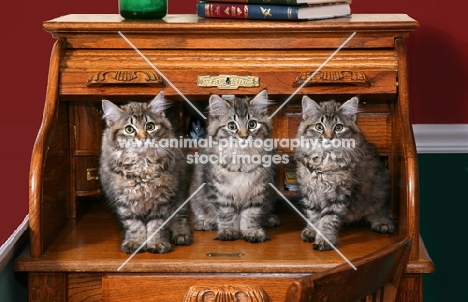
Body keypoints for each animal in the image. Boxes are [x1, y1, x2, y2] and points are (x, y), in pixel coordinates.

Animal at [98, 91, 192, 254]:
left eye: (150, 126)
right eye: (129, 129)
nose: (143, 138)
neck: (143, 166)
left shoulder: (163, 198)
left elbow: (157, 225)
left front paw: (157, 243)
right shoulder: (125, 201)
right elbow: (134, 225)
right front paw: (135, 243)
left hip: (180, 192)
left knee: (180, 216)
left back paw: (181, 234)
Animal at [189, 89, 278, 243]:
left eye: (252, 124)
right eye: (232, 126)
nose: (244, 136)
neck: (241, 158)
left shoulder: (258, 191)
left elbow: (251, 215)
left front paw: (251, 231)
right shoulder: (220, 191)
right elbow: (227, 214)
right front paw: (228, 230)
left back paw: (269, 219)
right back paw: (204, 223)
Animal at [294, 96, 394, 250]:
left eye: (338, 127)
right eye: (319, 127)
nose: (329, 137)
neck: (325, 160)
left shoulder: (338, 194)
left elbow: (328, 219)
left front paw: (324, 239)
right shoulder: (310, 191)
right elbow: (314, 215)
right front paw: (312, 230)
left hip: (379, 188)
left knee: (379, 209)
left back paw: (382, 222)